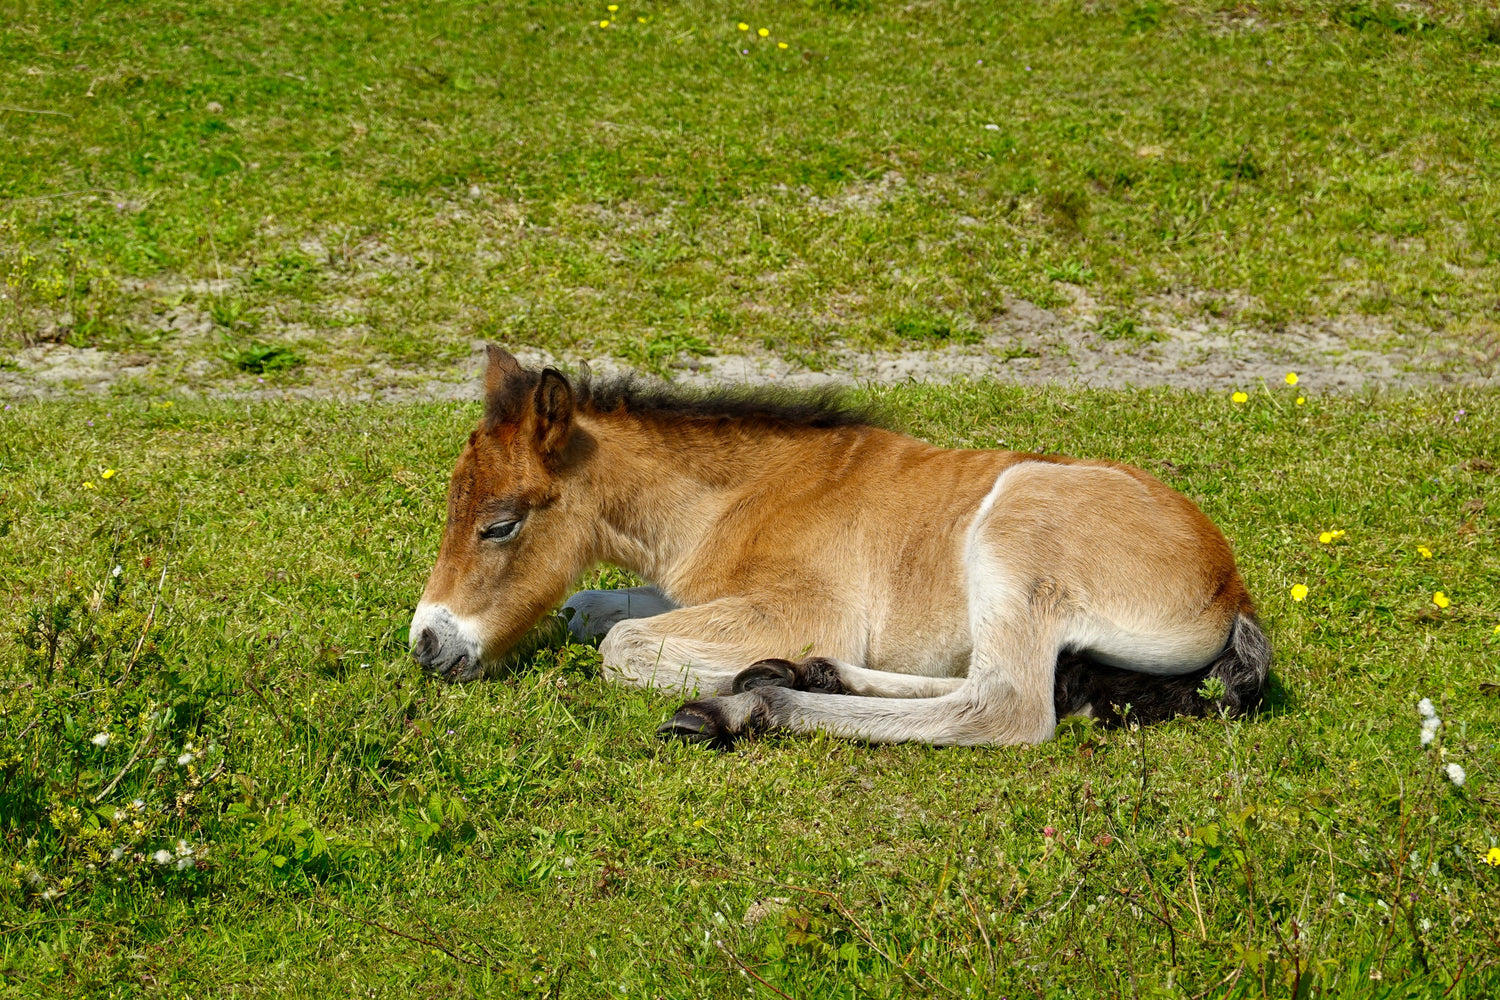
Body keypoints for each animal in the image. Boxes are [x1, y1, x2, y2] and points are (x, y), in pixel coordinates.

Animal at [408, 346, 1271, 748]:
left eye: (500, 524)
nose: (427, 643)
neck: (734, 500)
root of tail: (1230, 587)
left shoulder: (803, 605)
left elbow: (620, 644)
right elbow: (590, 607)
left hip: (1016, 531)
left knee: (1005, 707)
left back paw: (752, 701)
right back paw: (797, 674)